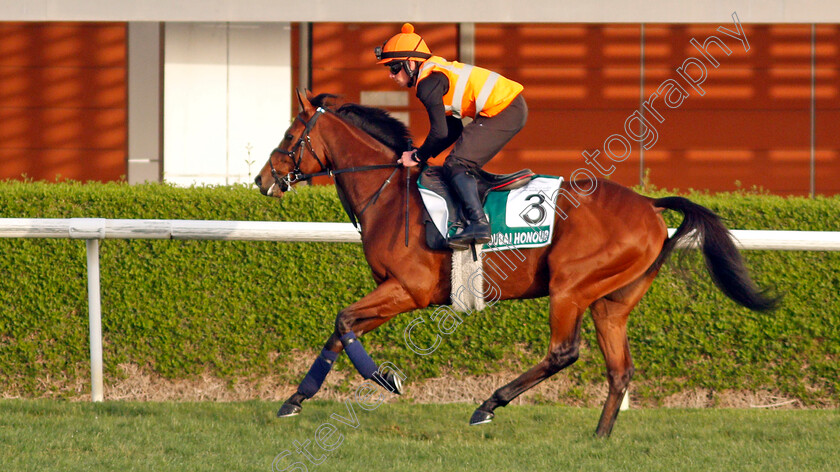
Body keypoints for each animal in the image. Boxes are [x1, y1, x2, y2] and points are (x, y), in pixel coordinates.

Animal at [253, 90, 776, 436]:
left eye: (290, 134)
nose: (262, 179)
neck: (388, 196)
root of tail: (649, 204)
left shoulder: (407, 290)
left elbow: (342, 321)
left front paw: (386, 377)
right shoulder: (392, 289)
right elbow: (339, 331)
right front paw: (295, 400)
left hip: (570, 287)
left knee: (564, 352)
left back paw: (489, 405)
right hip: (611, 303)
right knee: (620, 369)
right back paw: (599, 436)